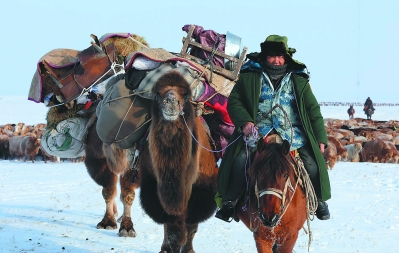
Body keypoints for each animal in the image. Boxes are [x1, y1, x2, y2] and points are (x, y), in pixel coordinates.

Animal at [138, 70, 219, 252]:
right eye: (157, 94)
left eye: (186, 95)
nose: (171, 102)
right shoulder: (155, 190)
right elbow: (173, 231)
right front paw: (168, 248)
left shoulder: (199, 195)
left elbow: (189, 229)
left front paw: (188, 249)